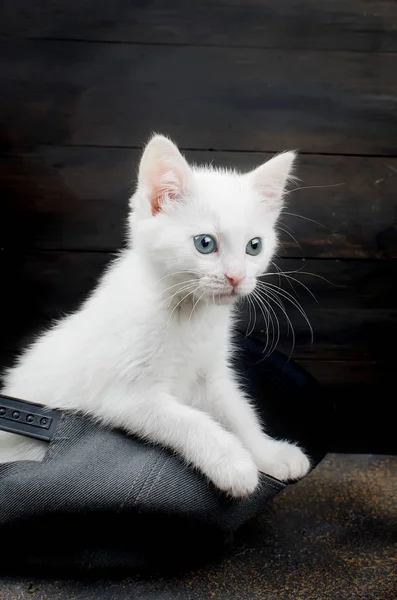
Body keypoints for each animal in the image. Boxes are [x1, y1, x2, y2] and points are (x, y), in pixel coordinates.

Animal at [0, 136, 310, 496]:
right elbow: (187, 420)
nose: (236, 277)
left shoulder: (210, 374)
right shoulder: (124, 395)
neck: (189, 316)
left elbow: (238, 411)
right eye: (205, 243)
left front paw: (268, 452)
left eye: (255, 246)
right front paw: (233, 462)